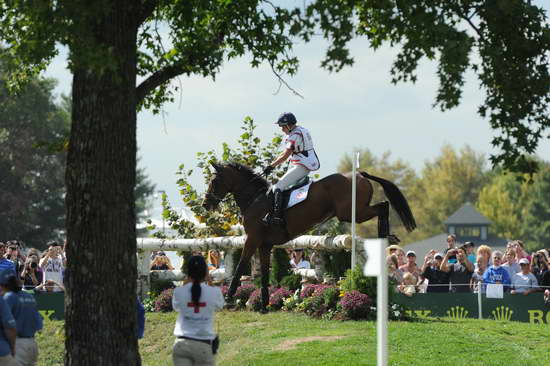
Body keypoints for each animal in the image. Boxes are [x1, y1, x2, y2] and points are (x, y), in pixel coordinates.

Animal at [204, 162, 418, 312]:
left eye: (214, 181)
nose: (206, 204)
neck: (254, 199)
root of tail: (360, 174)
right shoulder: (265, 244)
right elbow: (264, 273)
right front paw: (264, 305)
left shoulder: (253, 239)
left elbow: (240, 266)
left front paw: (229, 298)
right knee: (383, 205)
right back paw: (386, 235)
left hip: (351, 212)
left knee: (383, 205)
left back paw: (384, 233)